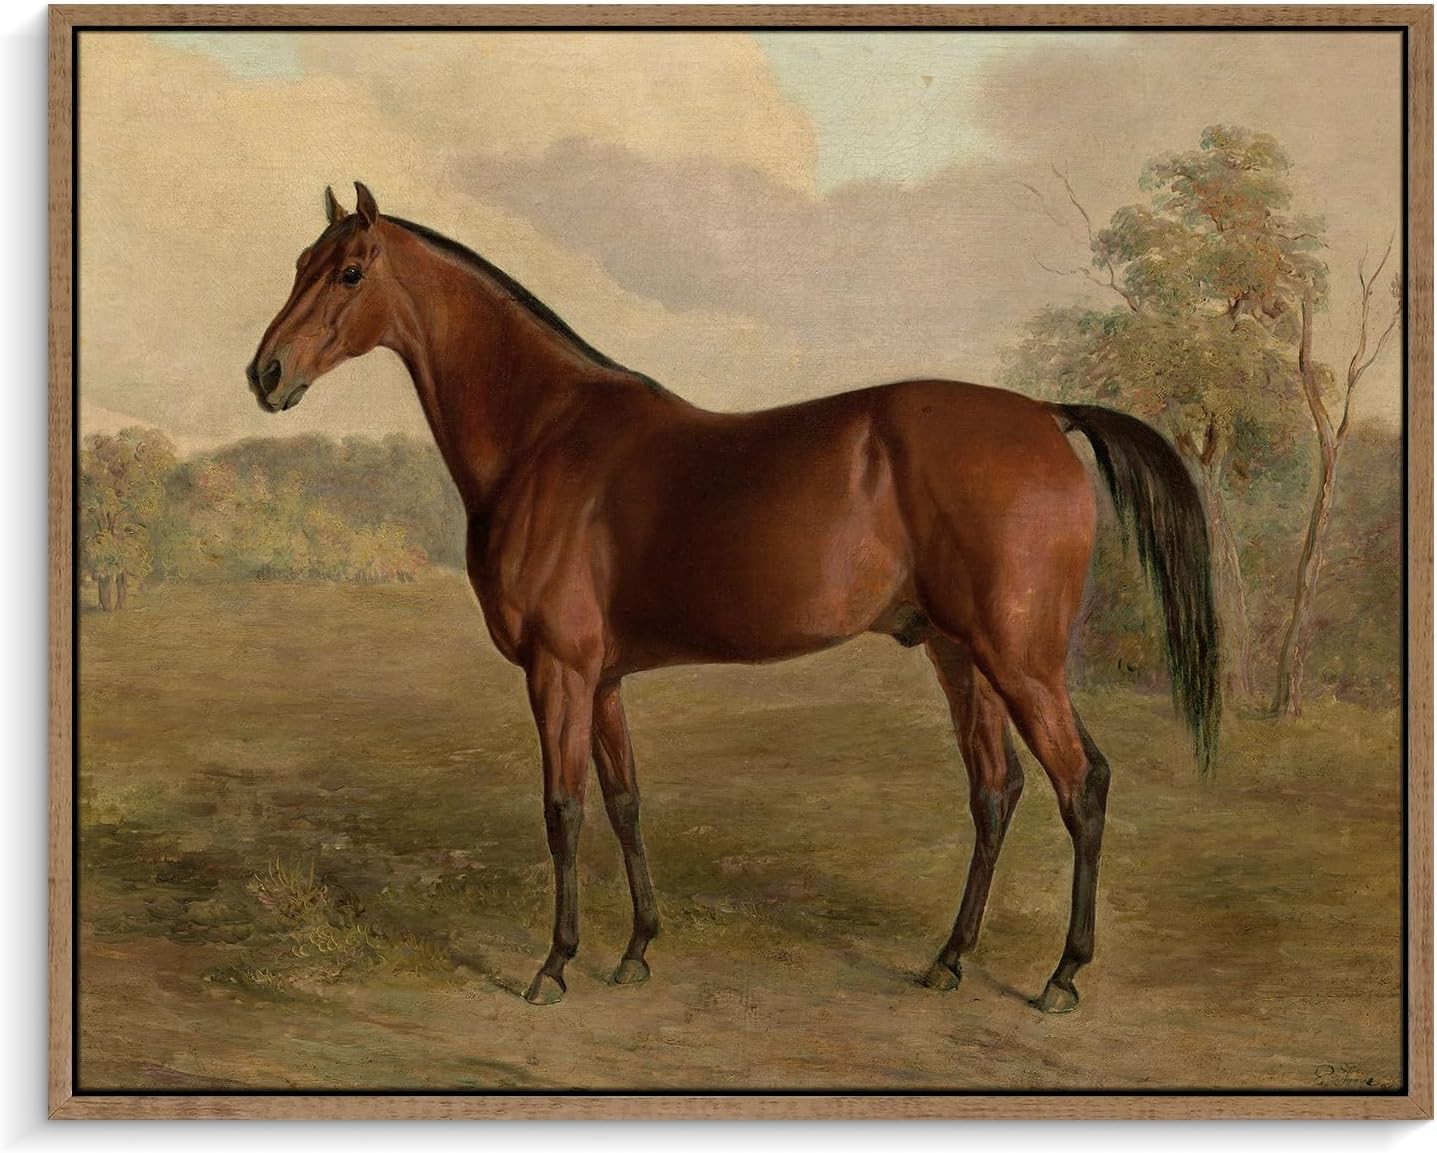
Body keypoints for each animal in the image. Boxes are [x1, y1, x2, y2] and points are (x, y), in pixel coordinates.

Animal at [247, 182, 1220, 1013]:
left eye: (349, 271)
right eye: (297, 261)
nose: (266, 373)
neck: (544, 436)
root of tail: (1046, 415)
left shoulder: (558, 671)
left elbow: (563, 809)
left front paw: (553, 965)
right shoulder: (602, 679)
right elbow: (624, 800)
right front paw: (636, 949)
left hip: (1020, 658)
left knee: (1080, 783)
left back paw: (1062, 975)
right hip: (961, 654)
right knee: (996, 788)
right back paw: (948, 959)